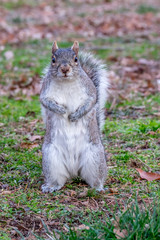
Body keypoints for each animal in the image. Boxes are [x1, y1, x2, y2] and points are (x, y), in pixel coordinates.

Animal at [40, 40, 109, 192]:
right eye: (53, 60)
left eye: (76, 59)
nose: (65, 69)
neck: (67, 82)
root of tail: (73, 172)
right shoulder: (45, 92)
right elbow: (45, 102)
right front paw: (60, 110)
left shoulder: (90, 91)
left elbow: (91, 102)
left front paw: (74, 116)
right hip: (51, 158)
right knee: (57, 178)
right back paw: (51, 186)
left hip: (95, 157)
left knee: (95, 178)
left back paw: (98, 187)